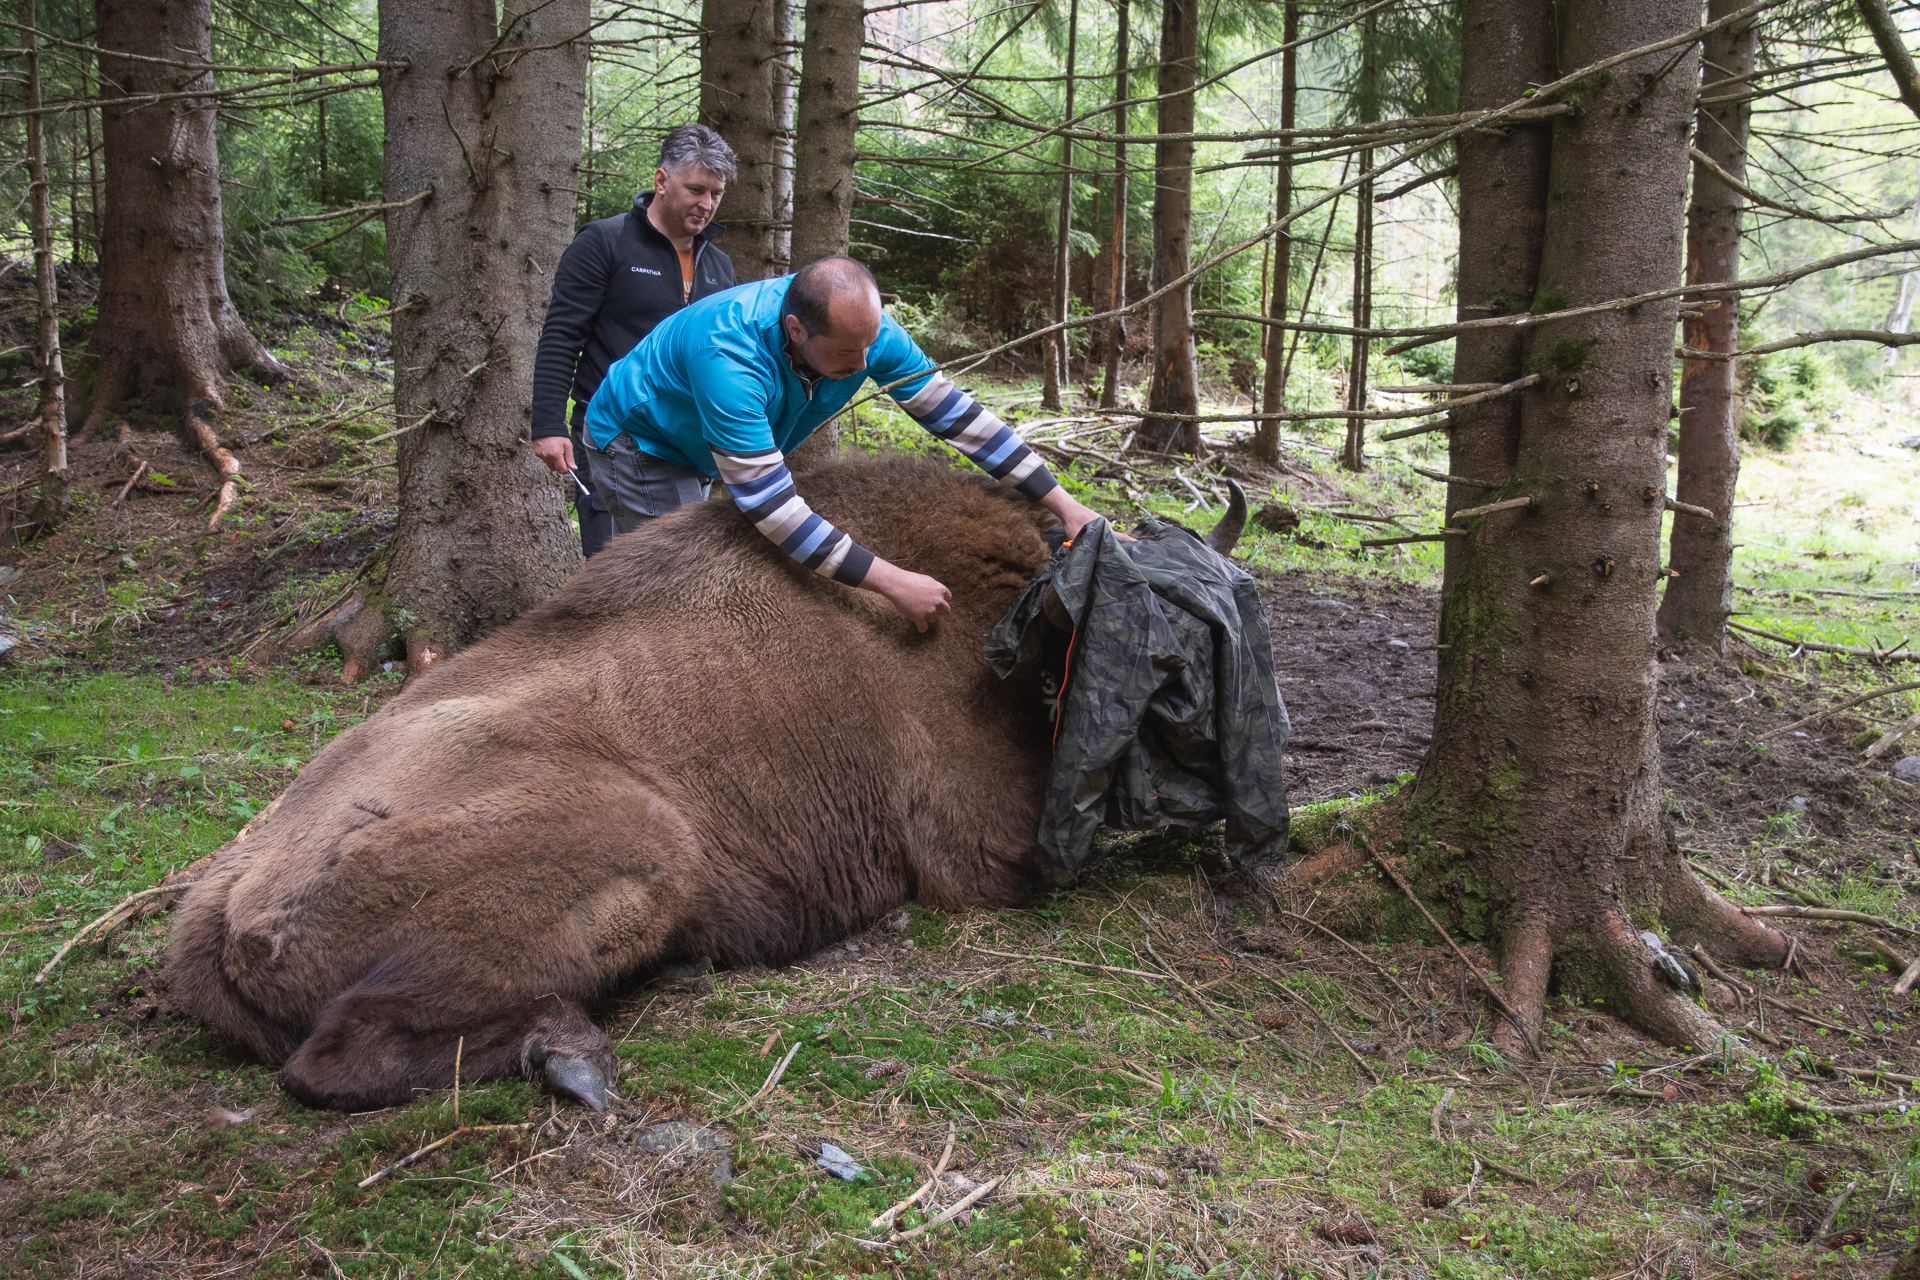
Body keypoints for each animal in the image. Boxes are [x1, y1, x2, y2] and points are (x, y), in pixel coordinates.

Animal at [162, 455, 1247, 1113]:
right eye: (1166, 655)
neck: (1015, 624)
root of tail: (220, 896)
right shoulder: (975, 849)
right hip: (649, 842)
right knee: (332, 1058)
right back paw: (573, 1055)